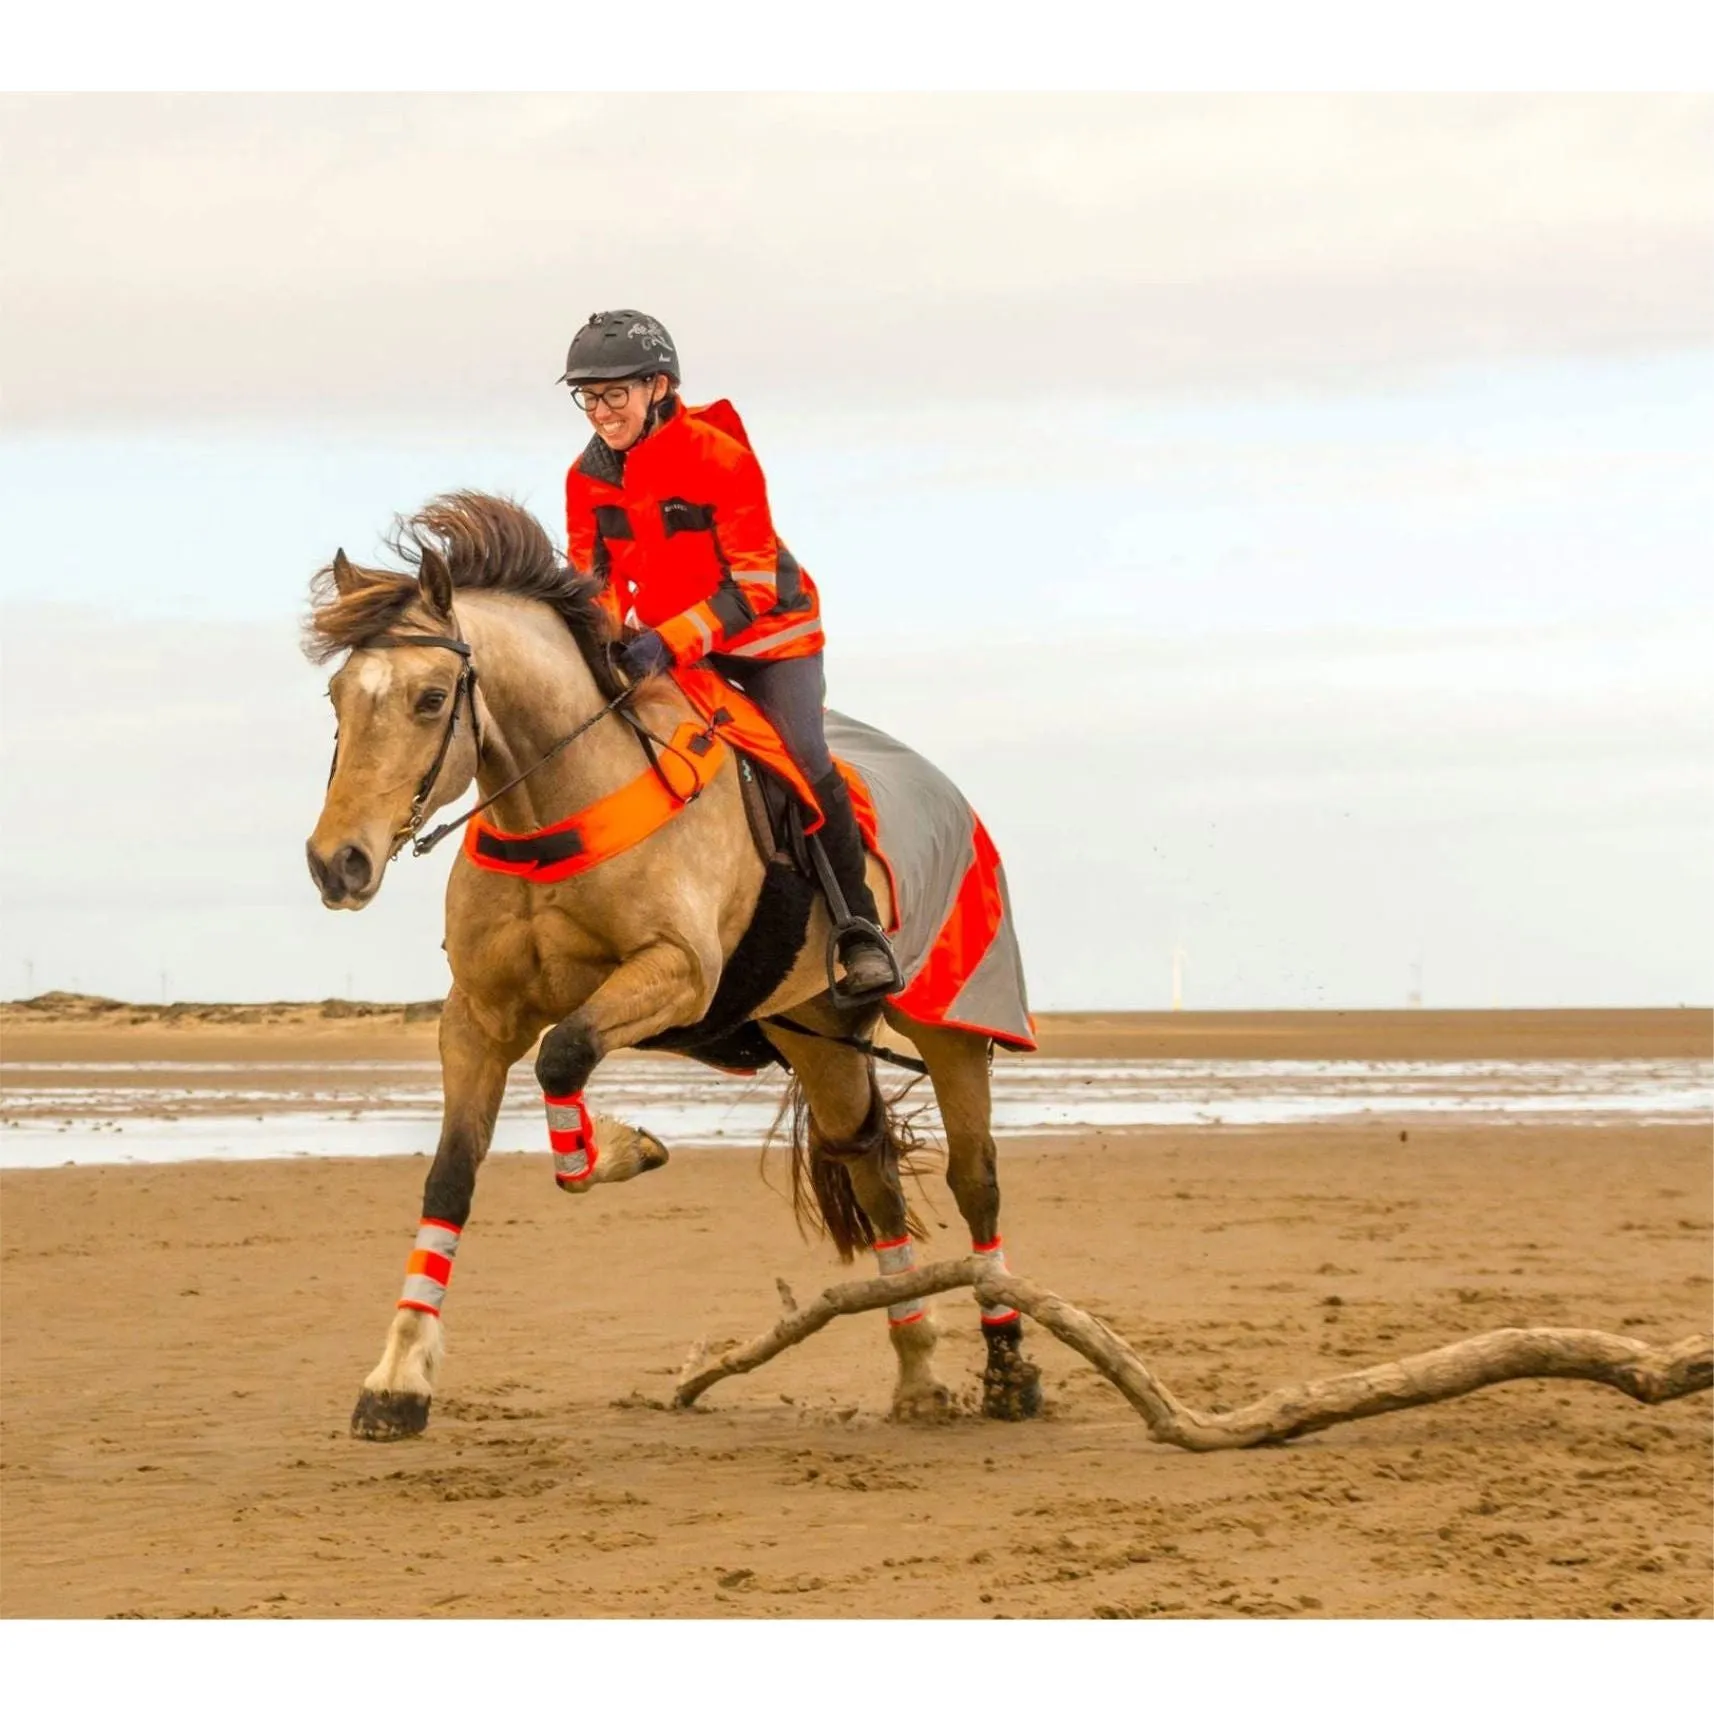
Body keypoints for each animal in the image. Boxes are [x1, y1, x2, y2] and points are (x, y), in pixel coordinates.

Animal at [301, 490, 1035, 1439]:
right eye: (338, 695)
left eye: (431, 698)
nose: (337, 863)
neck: (560, 806)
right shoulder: (478, 1016)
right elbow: (451, 1177)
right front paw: (396, 1381)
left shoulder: (676, 972)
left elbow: (564, 1056)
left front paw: (622, 1146)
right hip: (817, 1035)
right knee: (870, 1172)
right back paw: (915, 1372)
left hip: (952, 1020)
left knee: (975, 1181)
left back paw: (1010, 1365)